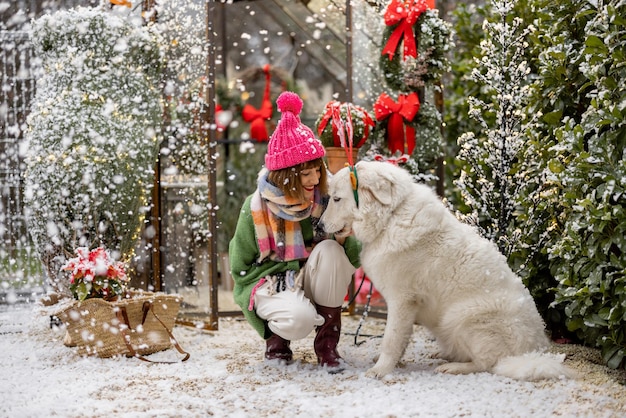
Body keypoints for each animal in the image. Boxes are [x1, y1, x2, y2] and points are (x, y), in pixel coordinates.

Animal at [322, 161, 572, 382]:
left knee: (489, 363)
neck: (391, 217)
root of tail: (532, 353)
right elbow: (400, 338)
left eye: (336, 199)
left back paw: (453, 367)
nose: (319, 226)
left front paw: (380, 370)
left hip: (461, 316)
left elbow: (391, 339)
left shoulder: (402, 300)